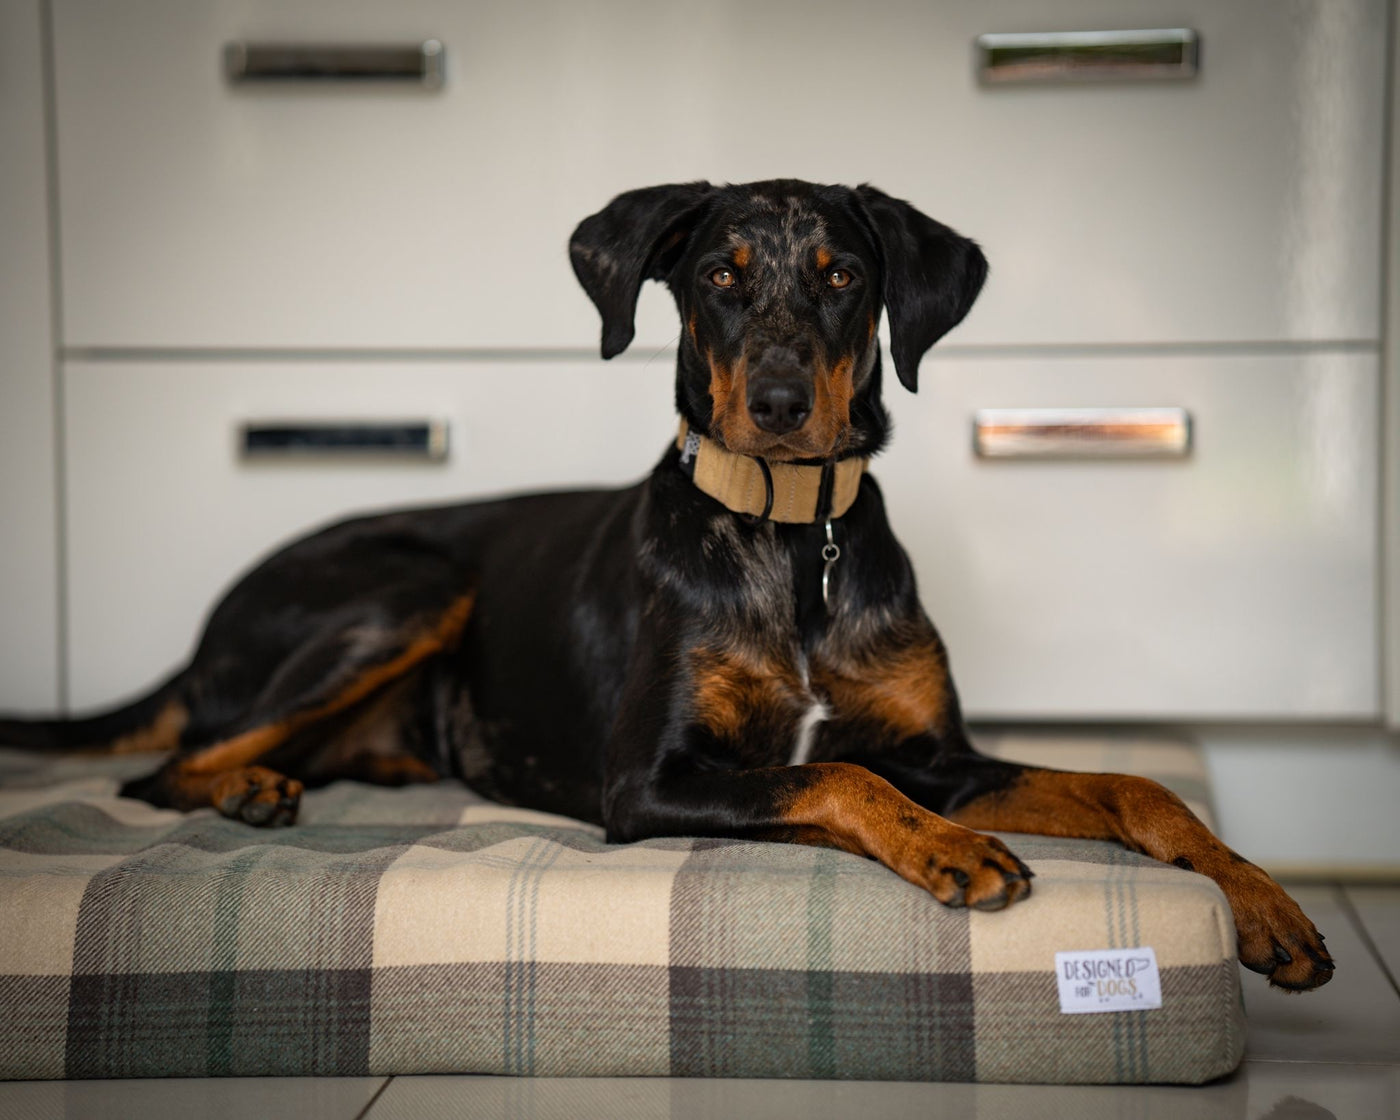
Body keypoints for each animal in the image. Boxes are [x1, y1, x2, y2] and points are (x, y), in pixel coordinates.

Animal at [0, 179, 1332, 991]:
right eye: (719, 278)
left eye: (842, 275)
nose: (783, 406)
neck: (794, 542)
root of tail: (201, 634)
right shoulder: (645, 781)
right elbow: (834, 773)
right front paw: (951, 850)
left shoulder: (939, 751)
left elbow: (1132, 787)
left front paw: (1261, 903)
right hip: (407, 587)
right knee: (166, 766)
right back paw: (254, 786)